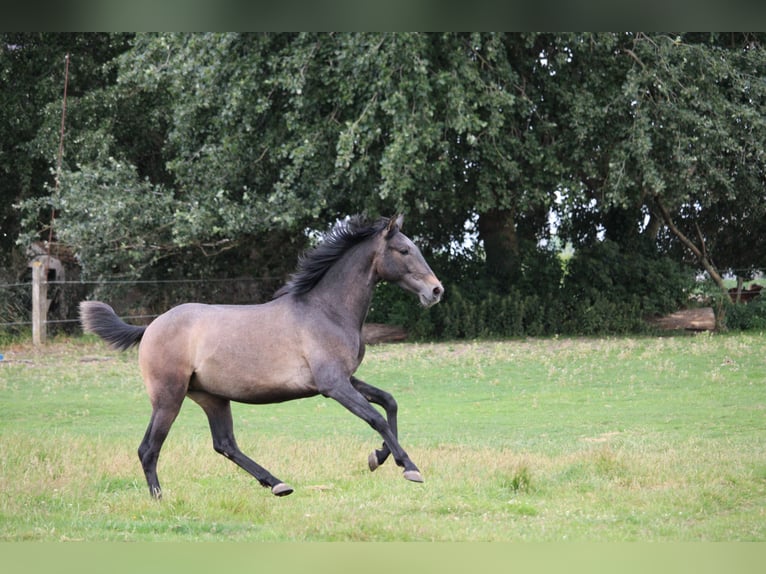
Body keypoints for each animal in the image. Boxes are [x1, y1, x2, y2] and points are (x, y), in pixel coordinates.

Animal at [79, 215, 443, 499]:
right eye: (403, 250)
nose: (436, 290)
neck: (326, 311)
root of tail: (150, 326)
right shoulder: (333, 385)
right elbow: (376, 417)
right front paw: (409, 468)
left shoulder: (346, 378)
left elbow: (389, 402)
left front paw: (379, 457)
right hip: (169, 396)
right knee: (149, 448)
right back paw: (159, 498)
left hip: (211, 397)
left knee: (225, 444)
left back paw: (277, 484)